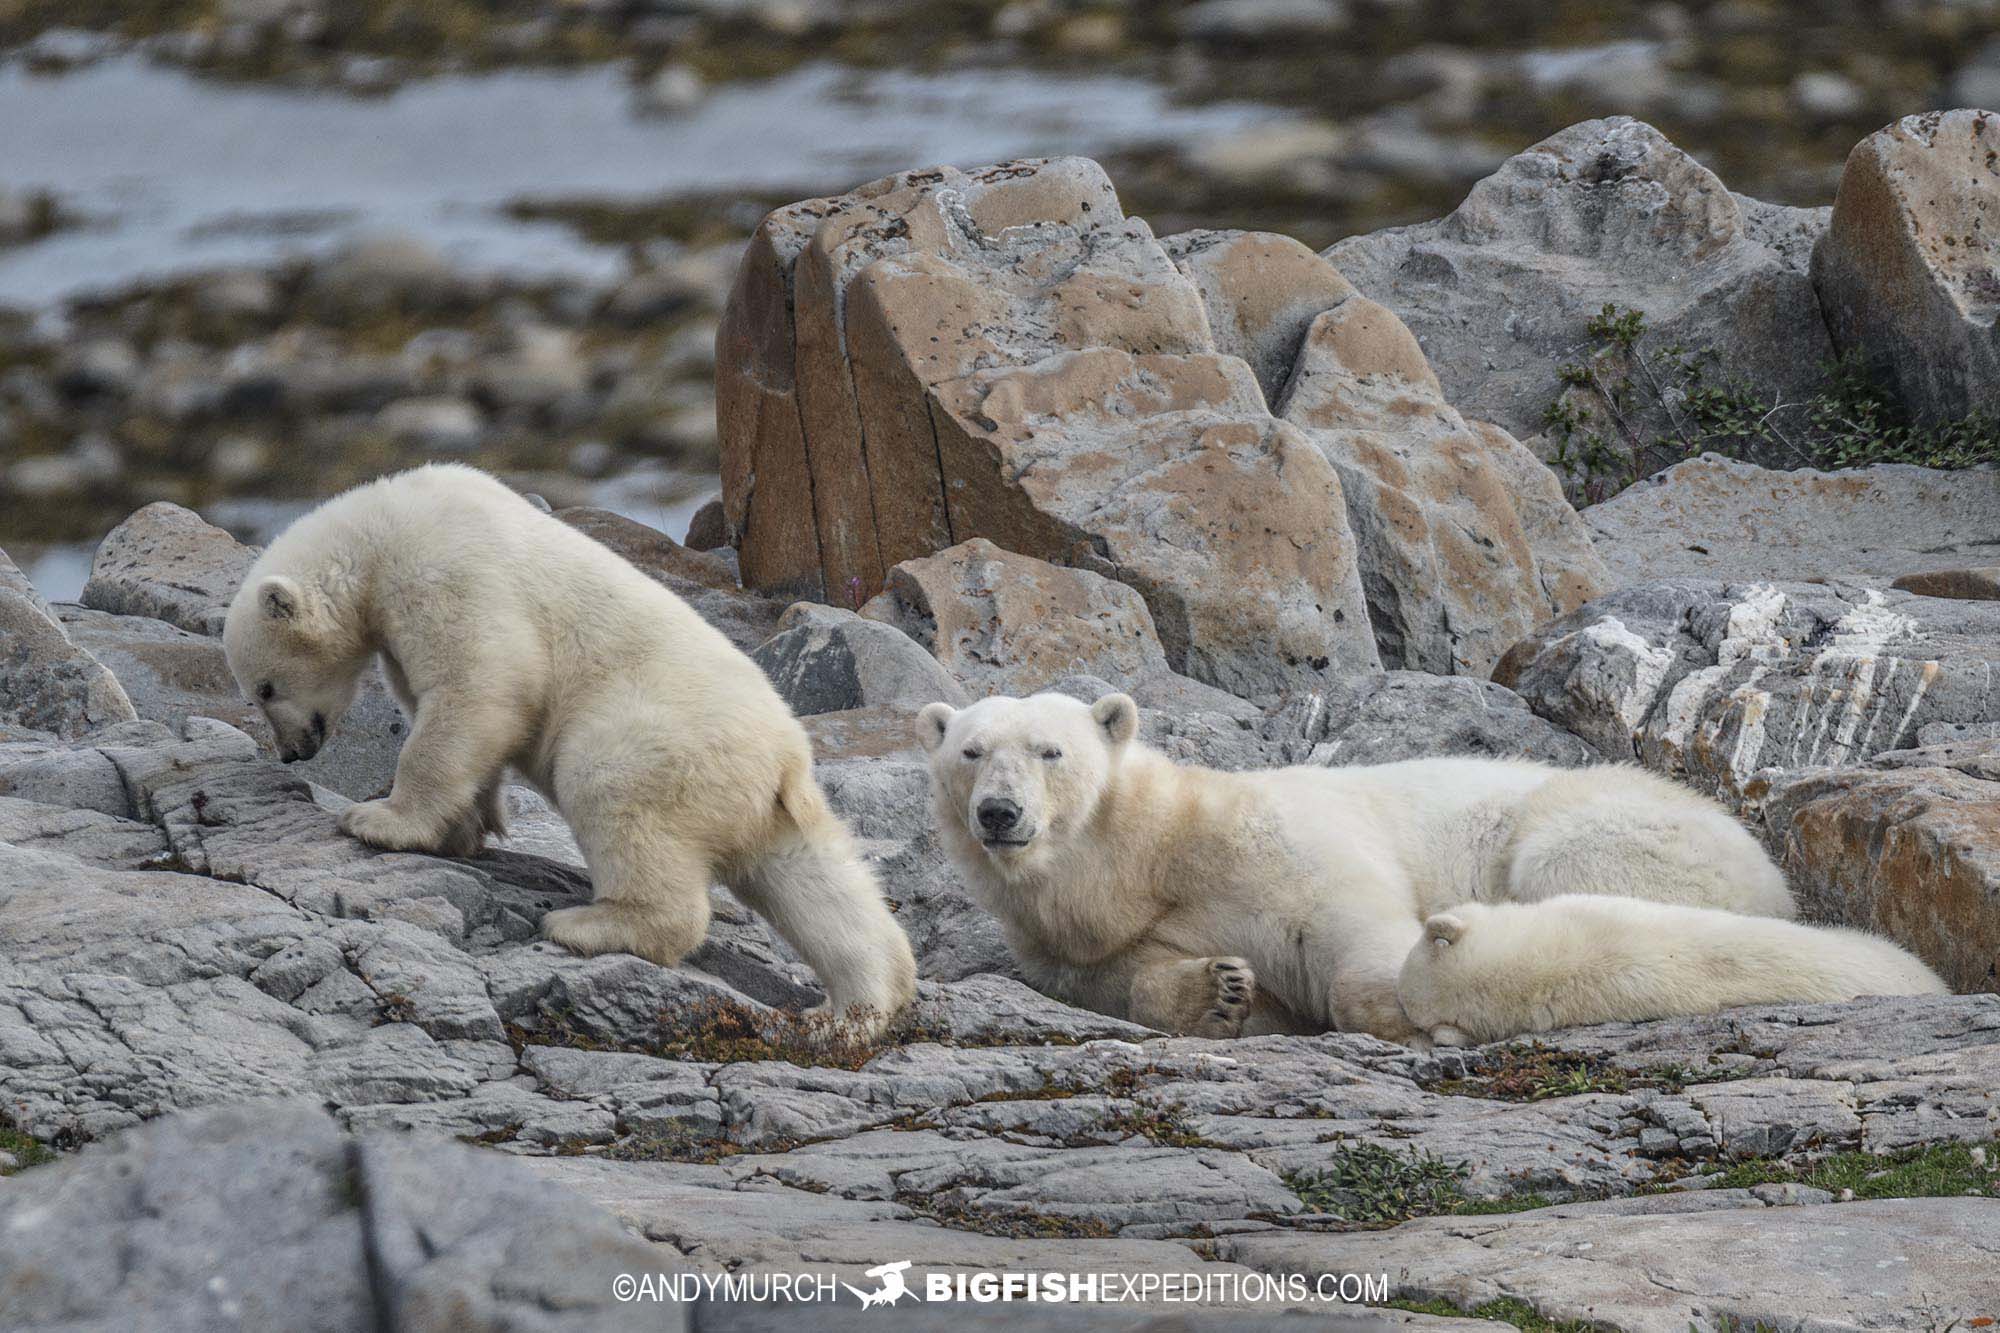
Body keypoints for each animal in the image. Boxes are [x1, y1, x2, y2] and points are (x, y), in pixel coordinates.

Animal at [223, 464, 916, 1033]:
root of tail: (783, 759)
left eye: (264, 687)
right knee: (814, 879)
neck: (382, 529)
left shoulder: (446, 572)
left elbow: (480, 687)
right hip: (768, 806)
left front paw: (380, 820)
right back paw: (855, 1007)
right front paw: (465, 828)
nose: (292, 752)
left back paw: (590, 925)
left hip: (658, 741)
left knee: (614, 797)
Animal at [917, 691, 1793, 1044]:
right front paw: (1219, 991)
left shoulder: (1275, 842)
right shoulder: (1084, 946)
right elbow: (1133, 983)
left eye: (1049, 750)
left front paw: (1404, 1011)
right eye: (971, 751)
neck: (1151, 853)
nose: (999, 813)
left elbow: (1346, 918)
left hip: (1617, 826)